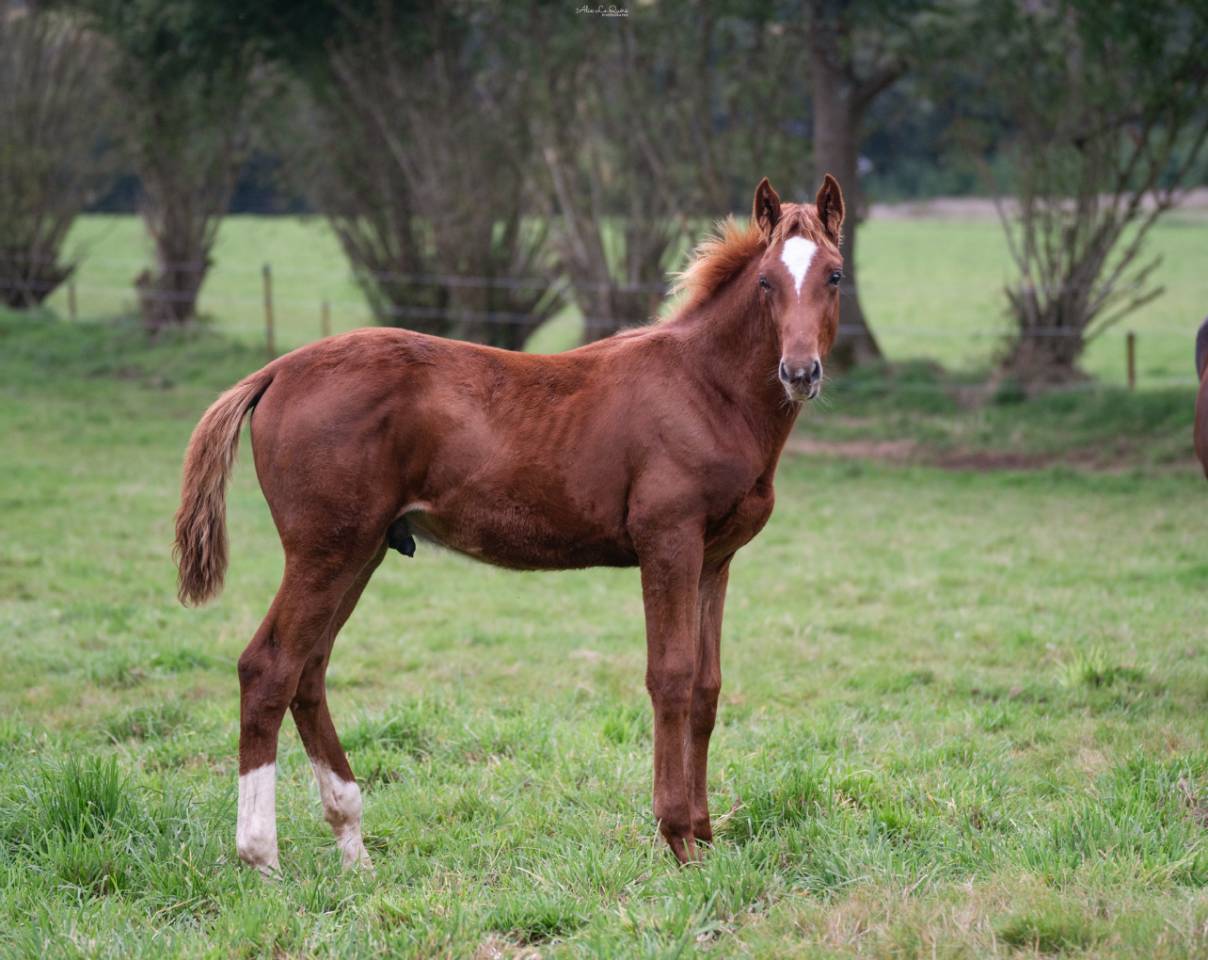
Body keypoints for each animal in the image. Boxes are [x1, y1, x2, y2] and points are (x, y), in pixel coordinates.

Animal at [174, 175, 847, 873]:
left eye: (835, 275)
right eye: (766, 281)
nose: (800, 372)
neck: (705, 390)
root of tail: (275, 371)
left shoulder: (715, 559)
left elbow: (708, 689)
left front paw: (707, 838)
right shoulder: (669, 542)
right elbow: (671, 678)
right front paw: (678, 839)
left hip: (360, 552)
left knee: (309, 671)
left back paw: (353, 846)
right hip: (324, 552)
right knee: (269, 668)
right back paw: (262, 857)